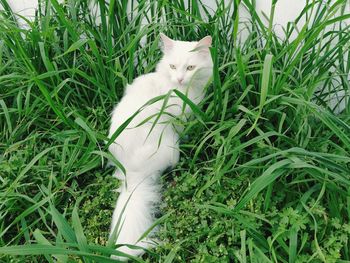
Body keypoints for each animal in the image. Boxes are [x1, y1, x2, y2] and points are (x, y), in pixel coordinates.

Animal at [106, 34, 212, 260]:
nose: (179, 79)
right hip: (172, 147)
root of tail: (131, 174)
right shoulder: (181, 120)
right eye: (173, 66)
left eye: (190, 68)